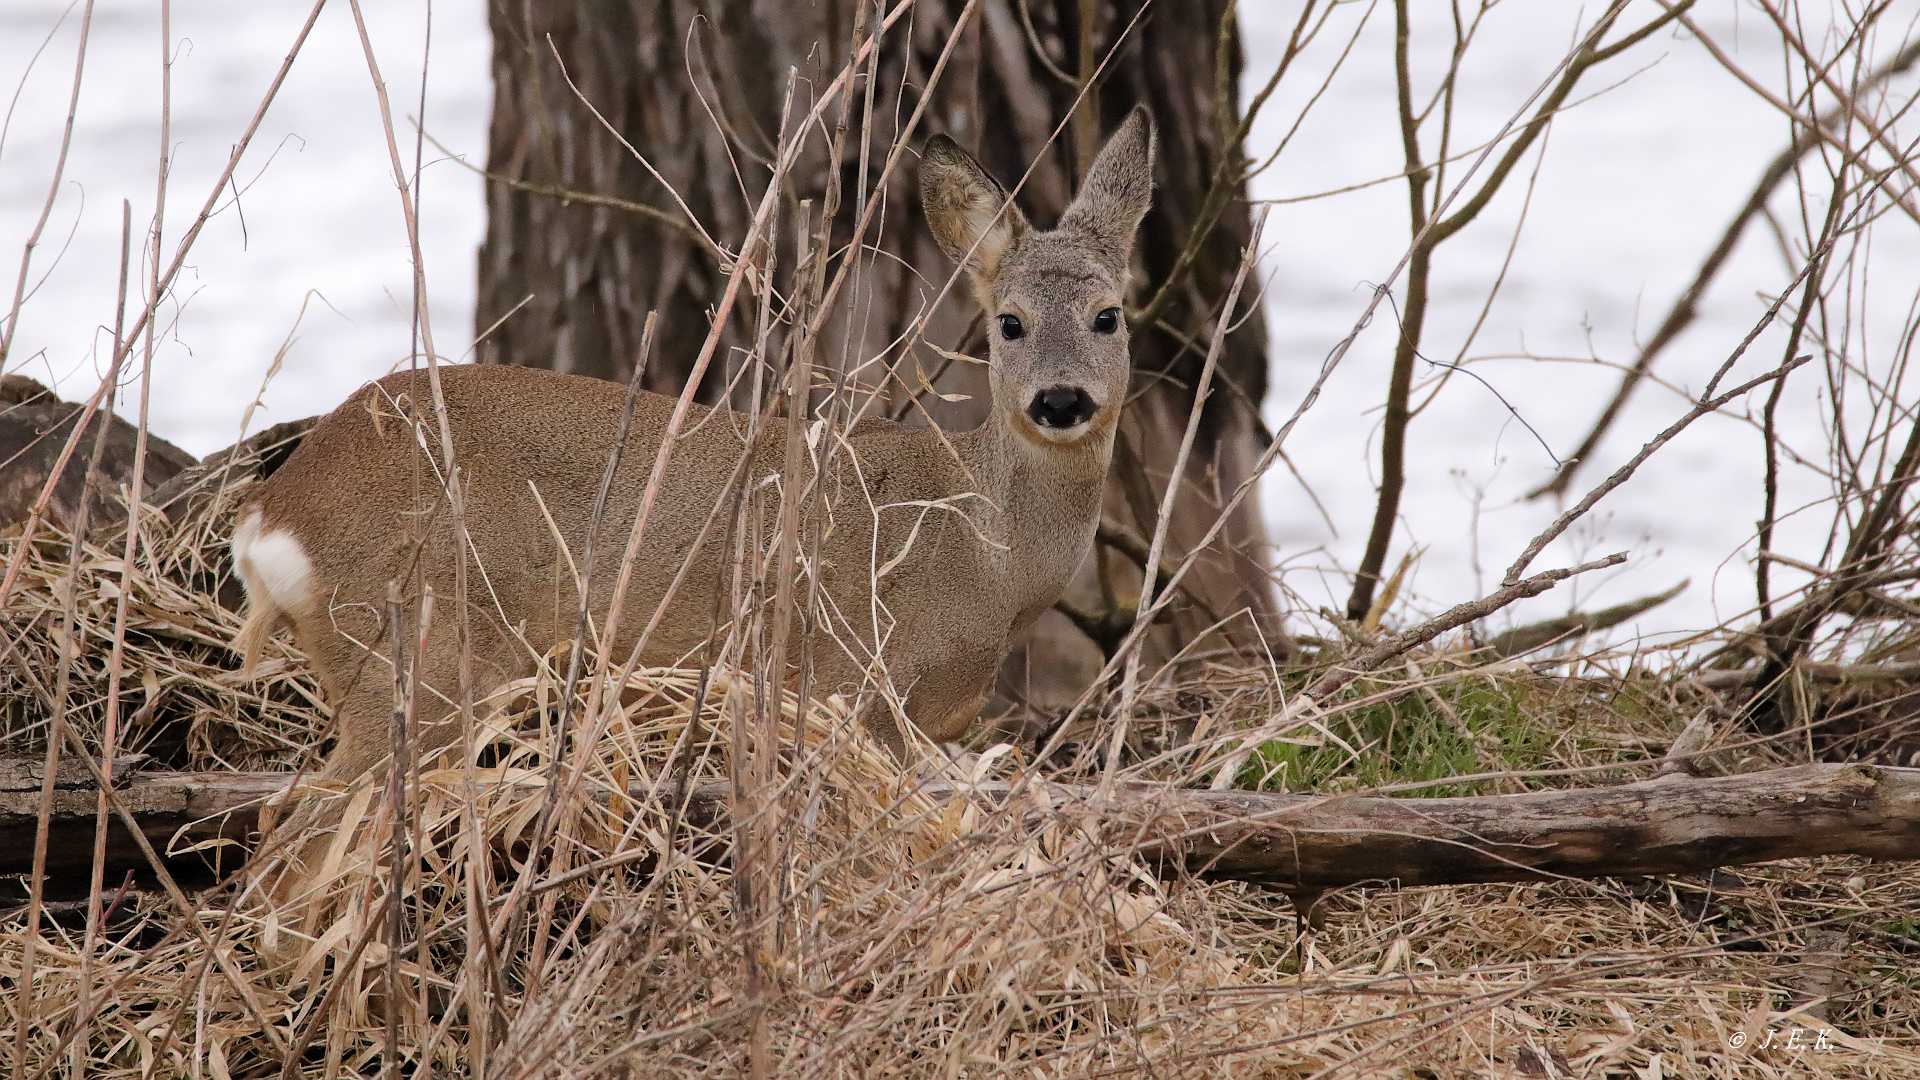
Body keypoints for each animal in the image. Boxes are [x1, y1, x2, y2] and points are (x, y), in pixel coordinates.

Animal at [226, 105, 1152, 768]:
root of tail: (272, 516)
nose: (1060, 399)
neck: (988, 555)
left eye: (1109, 316)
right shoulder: (855, 685)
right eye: (1009, 322)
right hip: (414, 648)